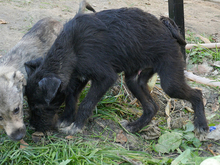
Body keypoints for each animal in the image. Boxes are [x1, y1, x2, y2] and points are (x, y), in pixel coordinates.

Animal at [24, 7, 209, 137]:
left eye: (38, 107)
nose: (33, 127)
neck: (71, 47)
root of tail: (167, 29)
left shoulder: (105, 78)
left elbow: (86, 103)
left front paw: (75, 127)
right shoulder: (78, 78)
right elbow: (71, 98)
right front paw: (66, 119)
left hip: (170, 81)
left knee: (197, 94)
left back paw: (201, 125)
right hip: (134, 80)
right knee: (152, 107)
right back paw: (135, 126)